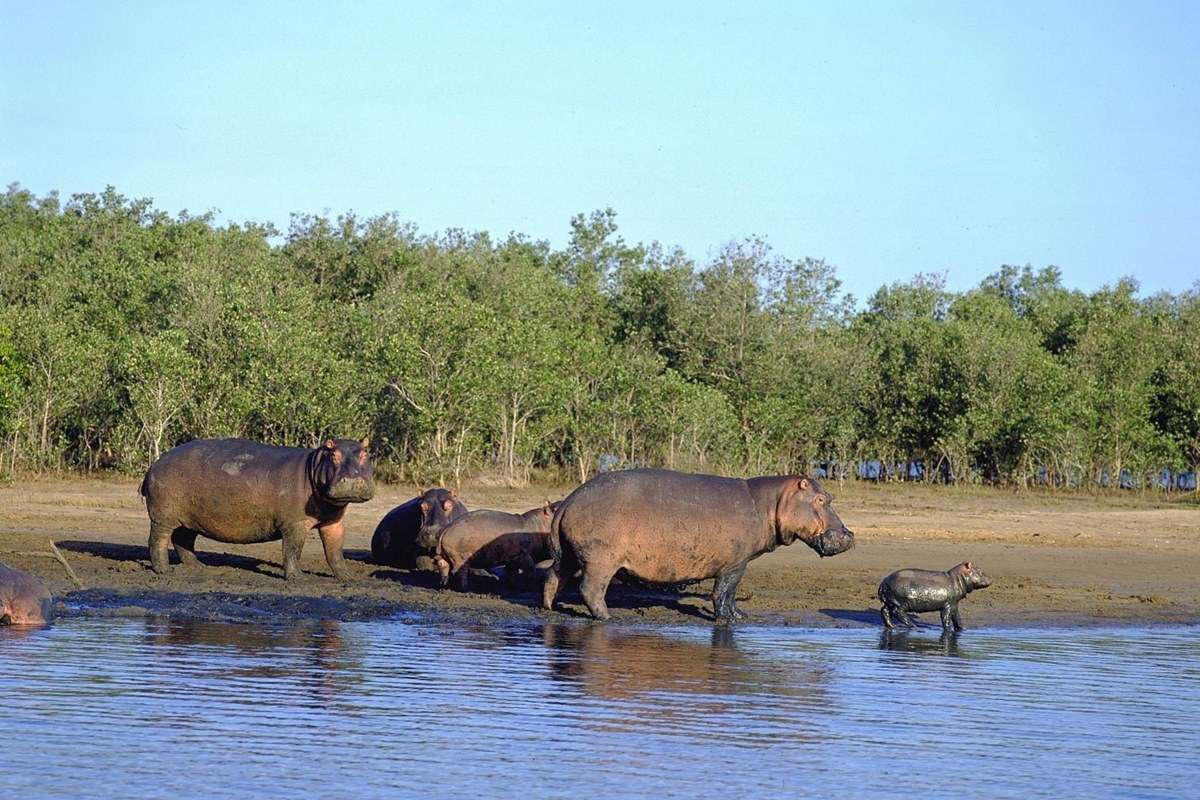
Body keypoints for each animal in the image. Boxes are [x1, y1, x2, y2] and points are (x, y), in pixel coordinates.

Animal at [141, 438, 374, 582]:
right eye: (333, 455)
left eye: (365, 454)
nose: (353, 480)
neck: (314, 465)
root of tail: (155, 464)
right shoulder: (295, 523)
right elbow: (292, 550)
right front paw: (298, 578)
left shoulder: (333, 521)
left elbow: (335, 551)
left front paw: (349, 578)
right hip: (163, 516)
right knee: (158, 540)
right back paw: (164, 571)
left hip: (191, 518)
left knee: (183, 540)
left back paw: (199, 567)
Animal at [540, 470, 859, 623]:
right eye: (822, 499)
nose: (849, 534)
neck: (771, 503)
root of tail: (570, 499)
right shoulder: (735, 563)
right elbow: (724, 592)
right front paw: (728, 620)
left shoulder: (738, 563)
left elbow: (731, 594)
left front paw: (742, 616)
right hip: (601, 559)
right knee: (590, 589)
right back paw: (607, 618)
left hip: (568, 554)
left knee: (554, 577)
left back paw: (548, 608)